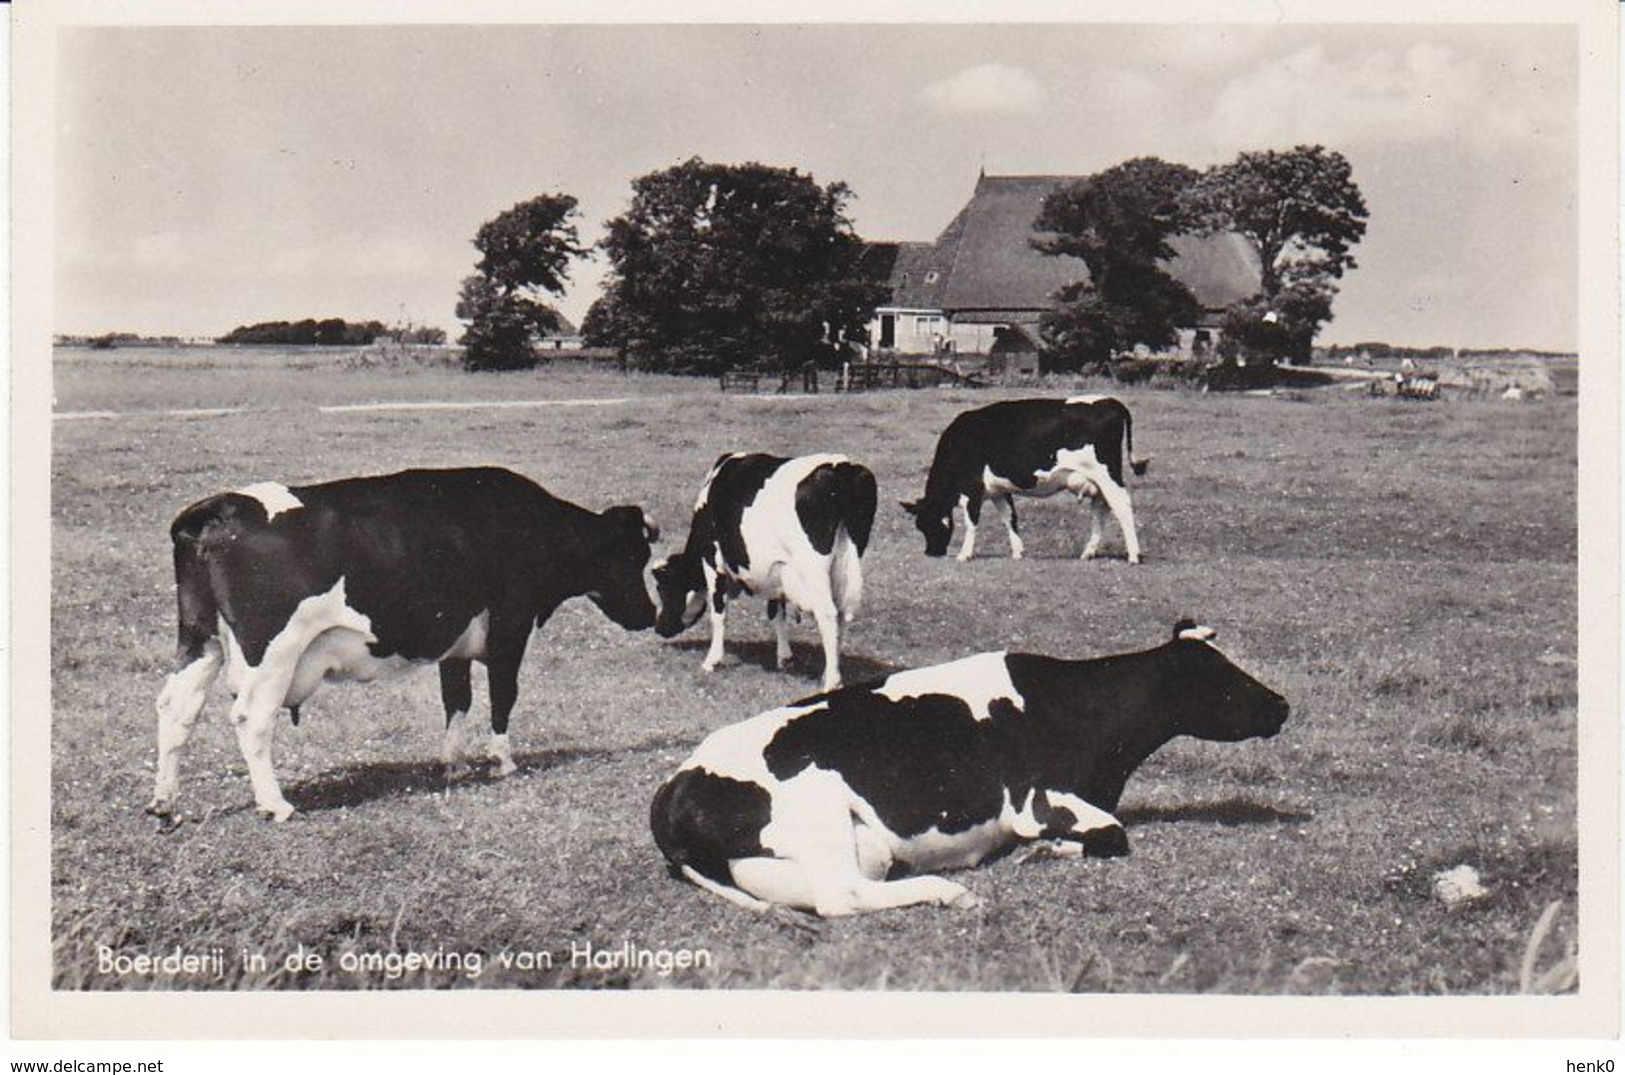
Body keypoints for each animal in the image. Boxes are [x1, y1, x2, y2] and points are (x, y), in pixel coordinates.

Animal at [650, 451, 884, 691]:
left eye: (662, 588)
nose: (658, 627)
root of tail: (842, 466)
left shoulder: (712, 560)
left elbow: (719, 612)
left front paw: (712, 661)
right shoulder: (777, 569)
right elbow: (776, 613)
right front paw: (784, 658)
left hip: (813, 568)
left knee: (829, 614)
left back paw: (831, 682)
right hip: (847, 562)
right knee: (843, 615)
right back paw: (829, 672)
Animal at [653, 623, 1287, 915]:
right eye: (1223, 676)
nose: (1282, 704)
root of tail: (676, 782)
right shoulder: (1036, 797)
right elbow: (1113, 833)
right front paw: (1046, 850)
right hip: (820, 815)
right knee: (842, 896)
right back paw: (950, 891)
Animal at [903, 396, 1157, 565]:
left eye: (927, 523)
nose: (931, 553)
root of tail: (1110, 401)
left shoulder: (972, 488)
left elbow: (971, 522)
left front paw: (965, 554)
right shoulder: (997, 489)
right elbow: (1009, 517)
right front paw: (1018, 551)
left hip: (1107, 475)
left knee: (1122, 507)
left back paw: (1134, 555)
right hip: (1097, 482)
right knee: (1100, 510)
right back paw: (1088, 552)